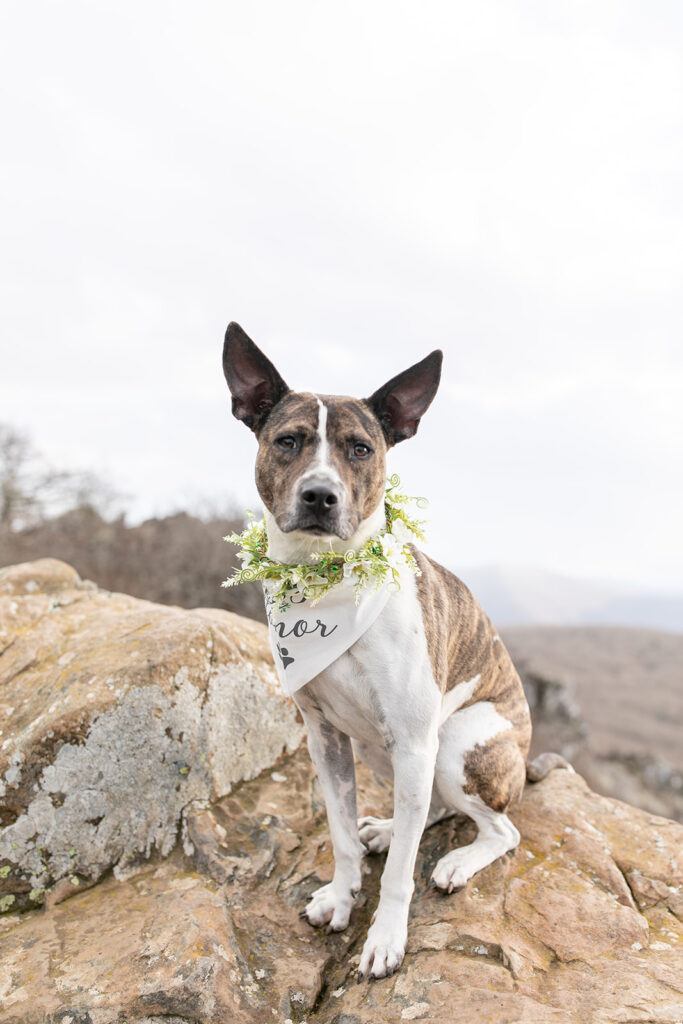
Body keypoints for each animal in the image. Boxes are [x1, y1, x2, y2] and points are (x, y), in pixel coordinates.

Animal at [222, 323, 565, 978]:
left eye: (360, 449)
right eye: (288, 441)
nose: (320, 496)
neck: (326, 581)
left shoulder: (413, 738)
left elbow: (402, 875)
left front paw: (386, 936)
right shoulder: (326, 737)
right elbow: (337, 832)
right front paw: (341, 894)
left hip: (454, 744)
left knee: (500, 829)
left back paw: (455, 860)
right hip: (382, 749)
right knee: (433, 809)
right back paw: (383, 831)